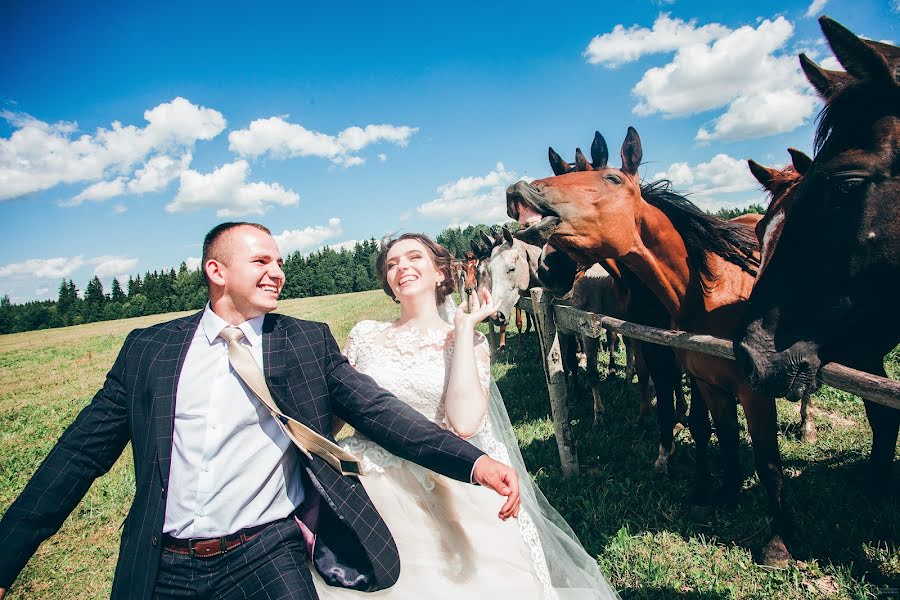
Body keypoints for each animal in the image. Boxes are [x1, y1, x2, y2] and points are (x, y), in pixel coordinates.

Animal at [510, 129, 800, 564]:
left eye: (611, 178)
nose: (520, 190)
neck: (707, 292)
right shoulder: (691, 372)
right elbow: (717, 431)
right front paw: (716, 492)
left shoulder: (752, 392)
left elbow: (766, 460)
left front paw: (778, 541)